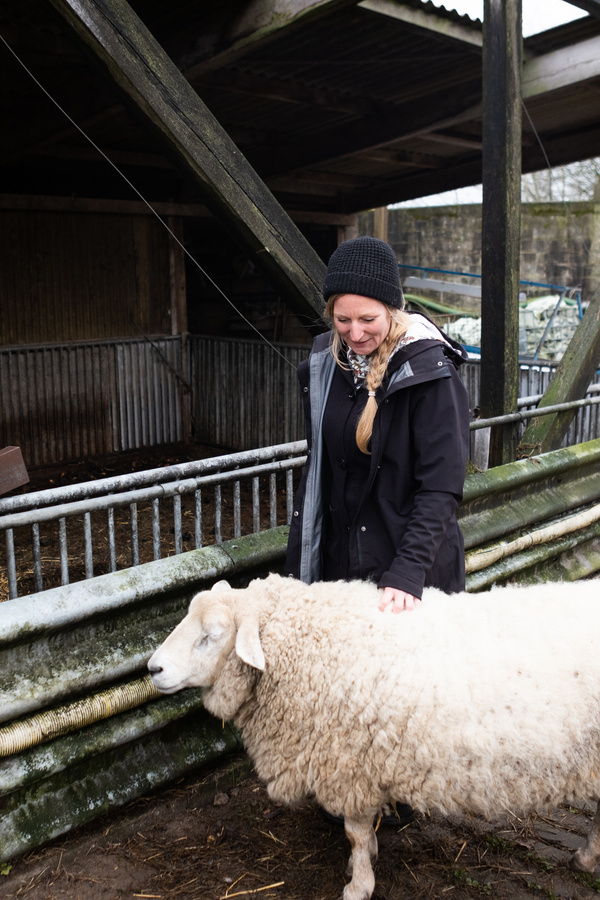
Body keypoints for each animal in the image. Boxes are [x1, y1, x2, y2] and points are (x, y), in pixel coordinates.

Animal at [148, 572, 600, 900]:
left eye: (212, 635)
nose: (153, 669)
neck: (307, 650)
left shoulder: (349, 766)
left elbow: (355, 833)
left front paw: (358, 884)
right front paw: (366, 862)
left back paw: (586, 857)